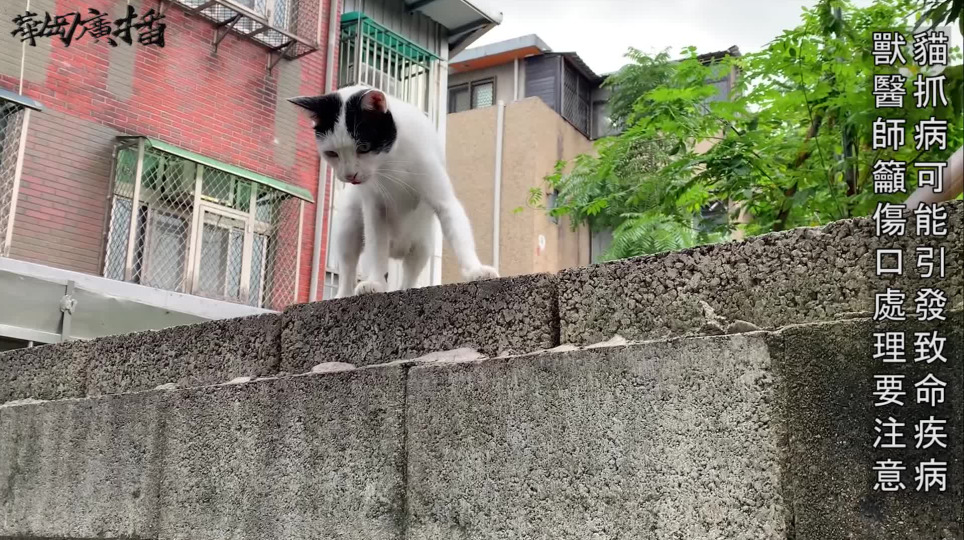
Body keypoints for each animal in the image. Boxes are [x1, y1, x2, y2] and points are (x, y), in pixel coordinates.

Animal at [289, 85, 499, 298]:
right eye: (331, 153)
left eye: (364, 147)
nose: (349, 175)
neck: (390, 161)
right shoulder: (374, 209)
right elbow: (376, 247)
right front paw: (374, 282)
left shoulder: (441, 194)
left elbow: (456, 225)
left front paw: (475, 270)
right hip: (349, 224)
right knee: (348, 265)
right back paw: (344, 293)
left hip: (422, 243)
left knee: (411, 270)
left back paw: (407, 287)